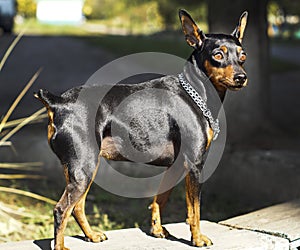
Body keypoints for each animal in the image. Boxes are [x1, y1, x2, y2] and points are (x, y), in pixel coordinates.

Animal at [34, 9, 248, 250]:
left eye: (243, 56)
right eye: (218, 55)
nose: (241, 77)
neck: (196, 92)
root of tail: (58, 103)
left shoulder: (175, 166)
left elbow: (160, 199)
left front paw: (156, 230)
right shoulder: (194, 164)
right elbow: (194, 209)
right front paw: (197, 238)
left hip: (80, 168)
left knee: (77, 206)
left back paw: (92, 235)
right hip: (84, 167)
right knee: (61, 209)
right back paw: (61, 246)